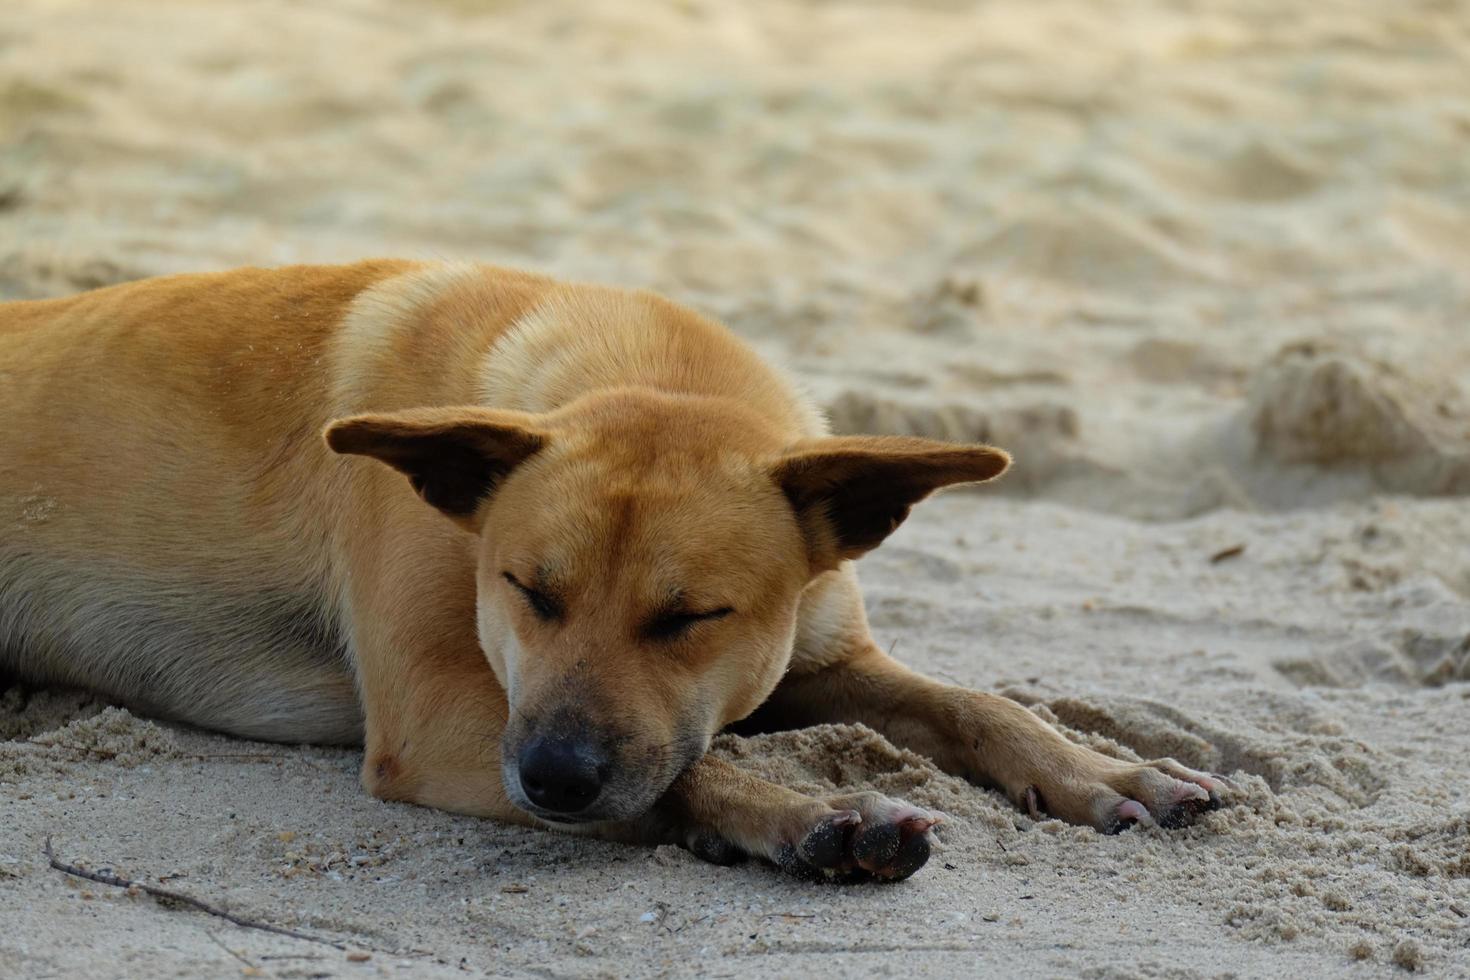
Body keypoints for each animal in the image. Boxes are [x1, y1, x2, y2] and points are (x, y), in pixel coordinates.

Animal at [0, 260, 1223, 881]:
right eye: (529, 591)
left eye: (691, 616)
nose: (552, 781)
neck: (647, 371)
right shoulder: (440, 717)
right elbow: (689, 771)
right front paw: (798, 808)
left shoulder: (822, 657)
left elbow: (978, 706)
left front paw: (1097, 766)